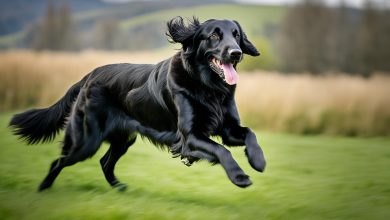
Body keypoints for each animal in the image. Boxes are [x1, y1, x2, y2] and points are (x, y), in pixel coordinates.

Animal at [9, 17, 266, 191]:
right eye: (214, 35)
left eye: (236, 35)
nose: (236, 53)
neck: (209, 88)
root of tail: (89, 75)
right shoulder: (190, 136)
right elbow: (221, 150)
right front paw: (239, 176)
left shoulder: (228, 128)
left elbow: (250, 134)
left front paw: (258, 160)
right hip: (86, 141)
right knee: (59, 160)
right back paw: (44, 187)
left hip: (124, 138)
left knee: (104, 162)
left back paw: (118, 187)